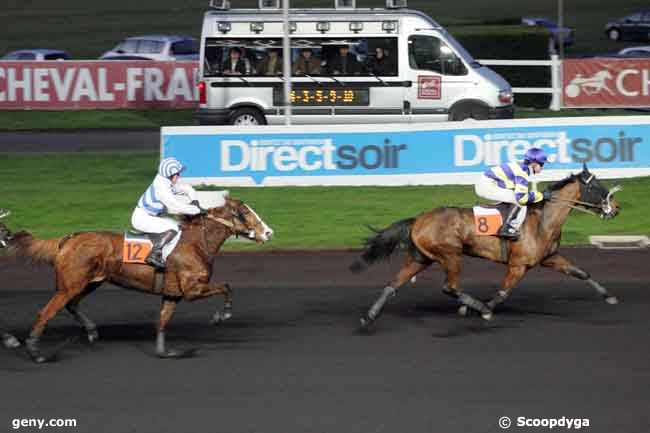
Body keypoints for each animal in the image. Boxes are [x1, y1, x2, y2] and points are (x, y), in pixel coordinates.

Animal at [0, 193, 272, 362]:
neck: (195, 243)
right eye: (245, 212)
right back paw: (36, 352)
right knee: (46, 312)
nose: (268, 232)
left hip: (89, 283)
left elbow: (161, 322)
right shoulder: (193, 289)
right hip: (70, 285)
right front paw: (221, 316)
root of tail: (67, 239)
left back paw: (91, 332)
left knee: (72, 305)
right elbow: (226, 286)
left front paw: (165, 352)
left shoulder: (172, 294)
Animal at [352, 165, 620, 328]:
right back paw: (476, 306)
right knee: (450, 287)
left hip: (420, 258)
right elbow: (502, 293)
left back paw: (369, 317)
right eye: (597, 187)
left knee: (393, 285)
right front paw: (482, 309)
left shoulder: (549, 258)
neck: (544, 220)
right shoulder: (518, 265)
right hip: (450, 255)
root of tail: (418, 219)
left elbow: (581, 273)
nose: (616, 208)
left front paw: (609, 296)